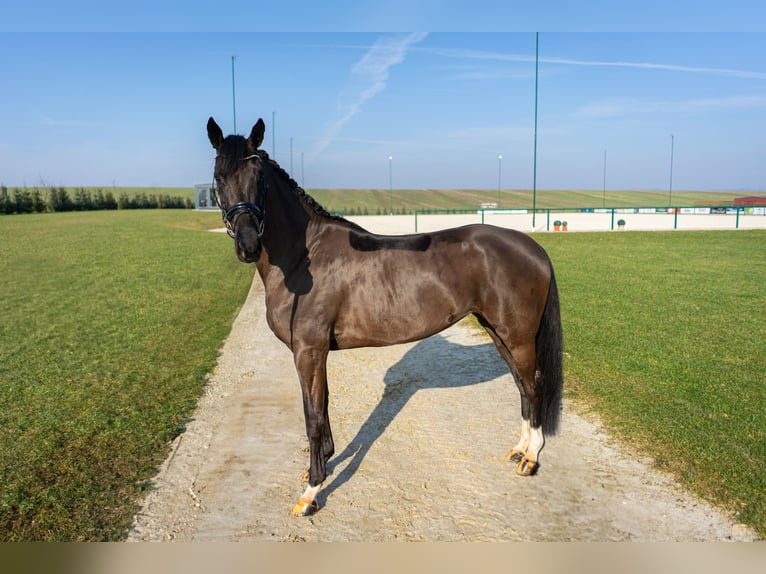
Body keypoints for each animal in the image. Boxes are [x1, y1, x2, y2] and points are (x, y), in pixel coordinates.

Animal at [206, 117, 564, 516]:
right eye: (219, 177)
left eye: (259, 177)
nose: (248, 245)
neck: (304, 258)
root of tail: (533, 246)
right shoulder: (317, 353)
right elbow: (323, 407)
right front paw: (323, 465)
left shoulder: (308, 351)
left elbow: (312, 417)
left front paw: (312, 491)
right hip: (498, 332)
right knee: (521, 385)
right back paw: (520, 449)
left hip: (517, 335)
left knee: (533, 384)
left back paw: (531, 457)